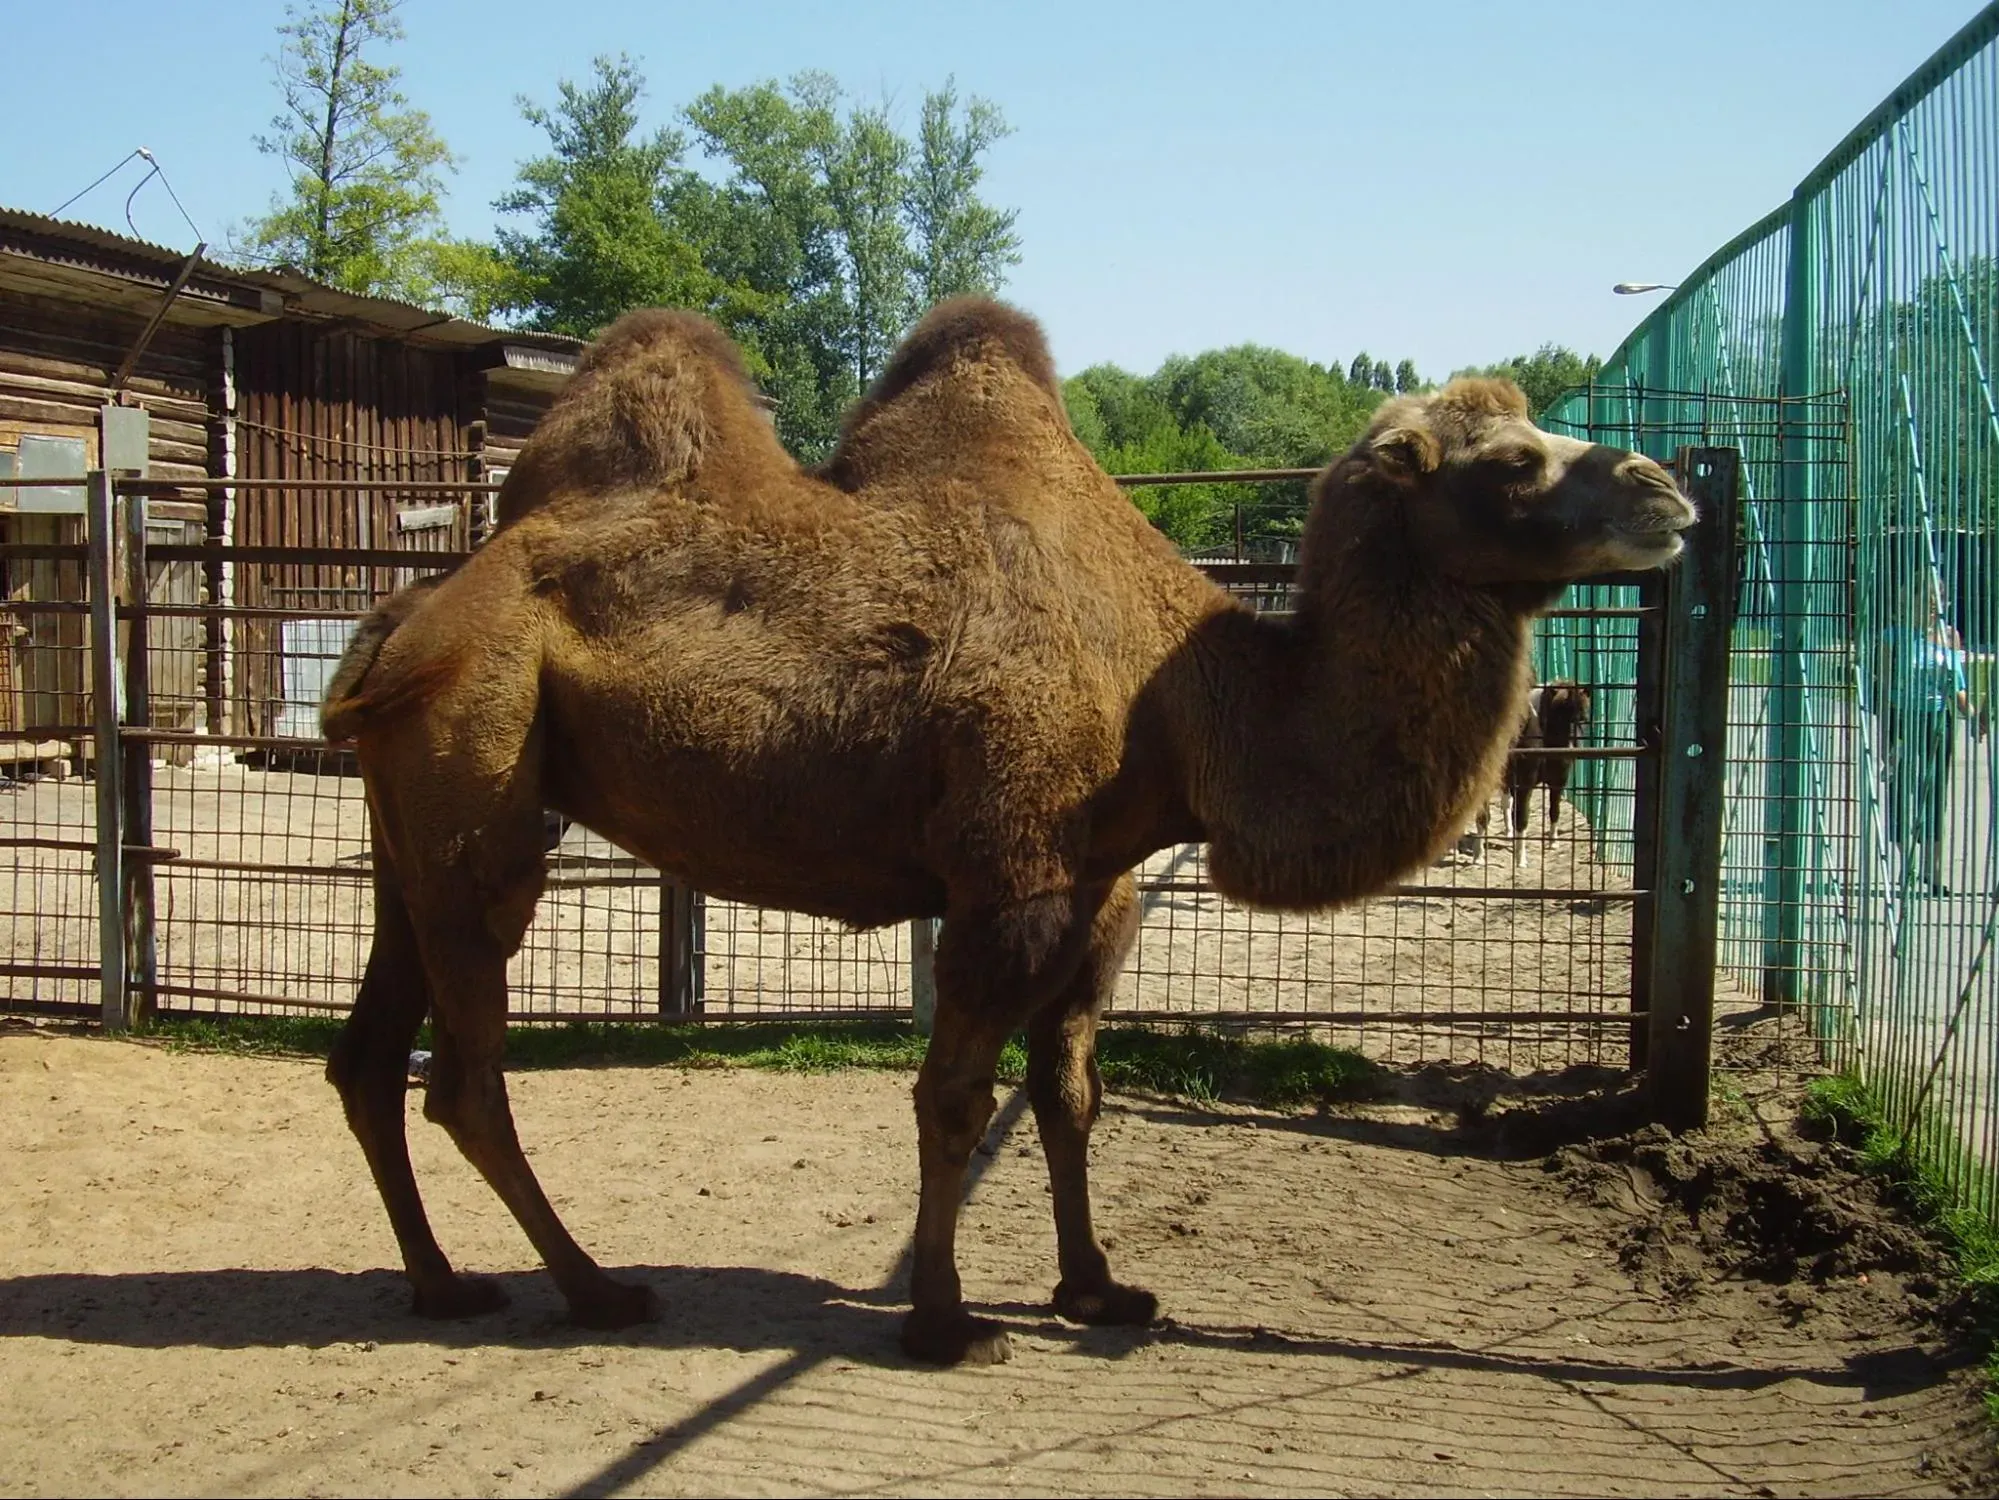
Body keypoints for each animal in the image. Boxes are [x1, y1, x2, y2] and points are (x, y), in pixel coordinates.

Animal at [320, 297, 1695, 1367]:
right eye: (1509, 463)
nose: (1668, 487)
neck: (1179, 688)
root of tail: (406, 614)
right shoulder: (1011, 876)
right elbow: (953, 1097)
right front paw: (942, 1320)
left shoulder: (1104, 888)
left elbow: (1069, 1092)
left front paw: (1097, 1288)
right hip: (483, 776)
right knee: (467, 1074)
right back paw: (596, 1288)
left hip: (411, 820)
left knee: (371, 1054)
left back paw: (443, 1284)